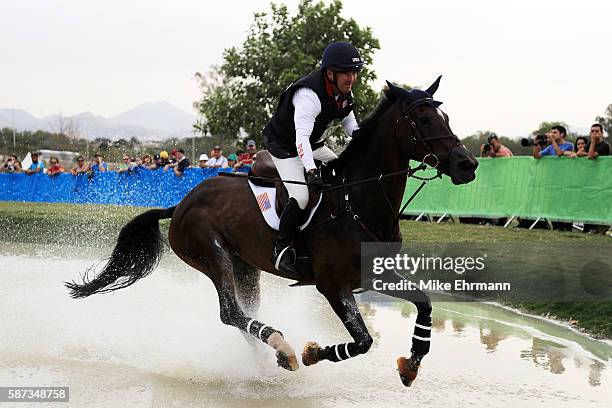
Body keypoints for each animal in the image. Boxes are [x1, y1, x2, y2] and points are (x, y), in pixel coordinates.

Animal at [65, 76, 478, 386]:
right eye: (422, 120)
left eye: (444, 115)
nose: (468, 164)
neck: (356, 200)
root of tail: (181, 203)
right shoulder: (333, 286)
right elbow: (362, 341)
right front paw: (313, 353)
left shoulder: (372, 274)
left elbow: (424, 304)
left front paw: (412, 363)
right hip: (211, 254)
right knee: (230, 312)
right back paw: (283, 348)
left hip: (245, 266)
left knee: (243, 315)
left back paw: (270, 360)